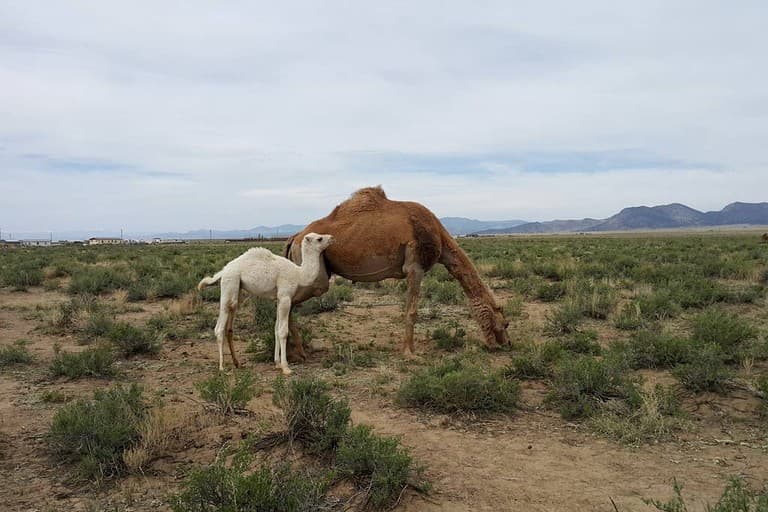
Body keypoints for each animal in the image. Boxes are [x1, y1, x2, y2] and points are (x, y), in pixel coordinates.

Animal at [198, 233, 334, 374]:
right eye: (319, 239)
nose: (331, 238)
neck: (298, 274)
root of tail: (223, 271)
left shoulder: (279, 299)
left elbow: (276, 329)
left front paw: (277, 363)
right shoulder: (285, 297)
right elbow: (283, 332)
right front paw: (286, 367)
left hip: (236, 289)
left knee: (229, 320)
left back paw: (237, 363)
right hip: (229, 284)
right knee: (219, 327)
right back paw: (222, 367)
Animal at [283, 186, 510, 358]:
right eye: (506, 323)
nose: (506, 344)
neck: (438, 234)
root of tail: (295, 237)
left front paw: (409, 350)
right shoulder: (415, 267)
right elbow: (412, 312)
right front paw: (409, 353)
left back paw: (296, 352)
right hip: (316, 275)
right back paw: (297, 352)